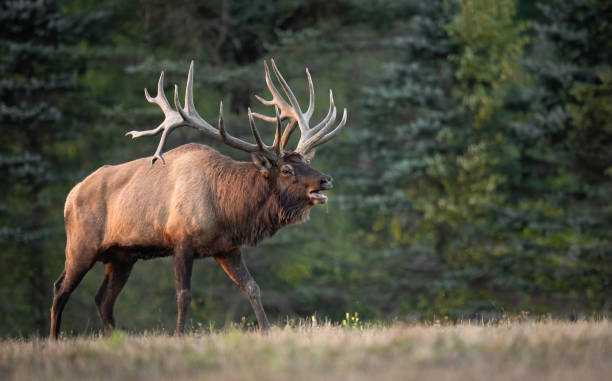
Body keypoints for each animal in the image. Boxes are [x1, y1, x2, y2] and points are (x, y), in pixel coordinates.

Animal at [50, 58, 346, 336]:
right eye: (286, 170)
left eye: (306, 161)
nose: (326, 179)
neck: (227, 209)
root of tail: (70, 196)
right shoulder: (181, 241)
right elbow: (184, 295)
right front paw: (179, 335)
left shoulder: (227, 248)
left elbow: (253, 287)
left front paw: (266, 331)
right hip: (81, 245)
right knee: (59, 289)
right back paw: (53, 339)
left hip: (121, 256)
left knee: (103, 299)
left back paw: (115, 338)